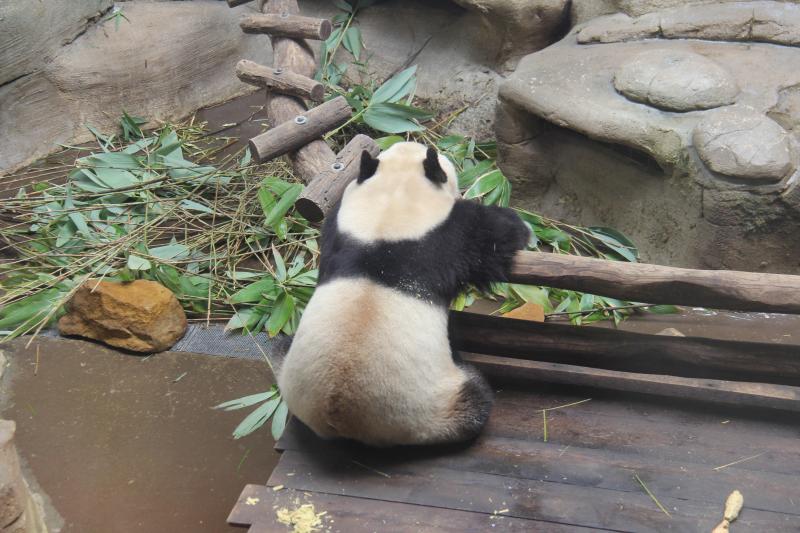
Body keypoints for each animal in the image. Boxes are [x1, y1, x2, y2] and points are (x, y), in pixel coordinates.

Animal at [276, 140, 532, 444]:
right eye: (445, 164)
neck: (389, 212)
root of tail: (338, 420)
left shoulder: (340, 229)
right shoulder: (450, 234)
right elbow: (497, 236)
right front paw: (521, 226)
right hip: (428, 406)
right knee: (473, 403)